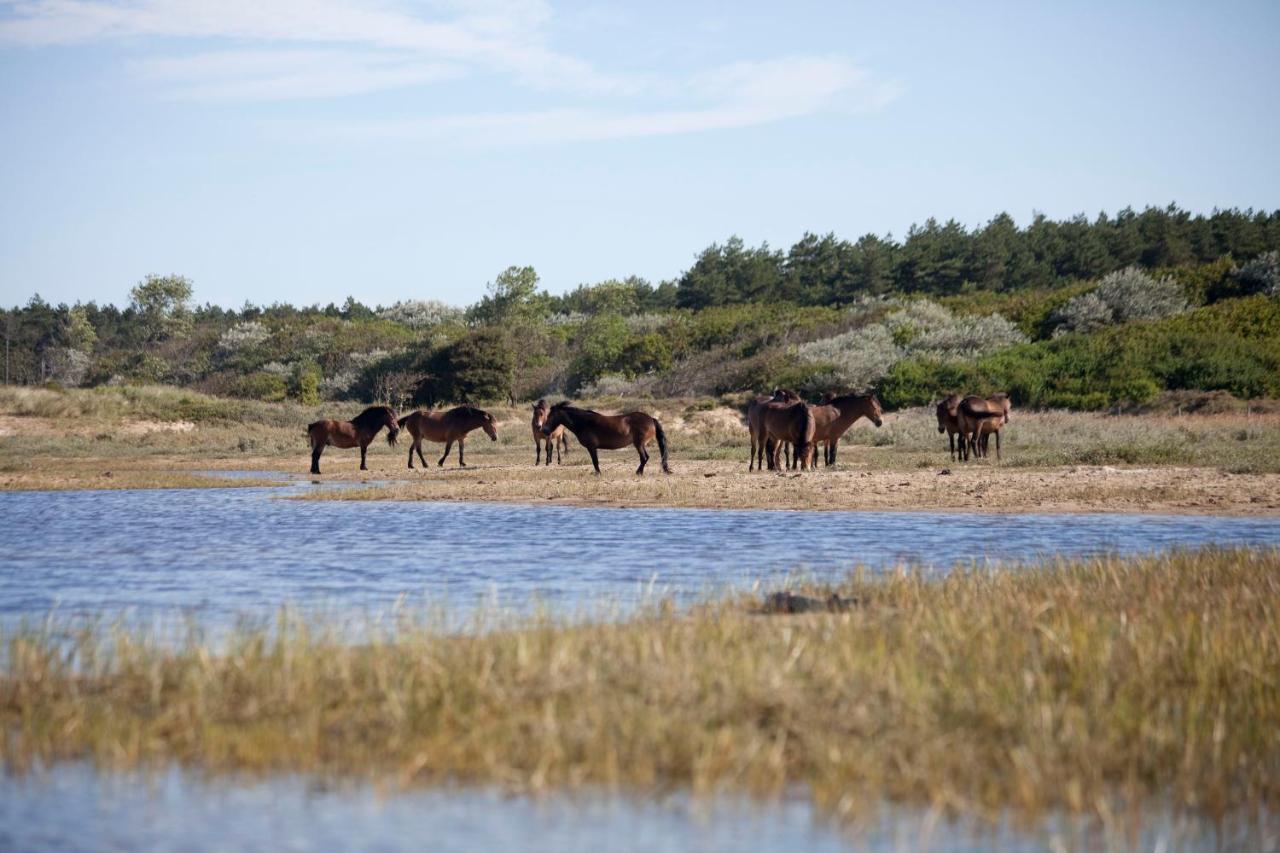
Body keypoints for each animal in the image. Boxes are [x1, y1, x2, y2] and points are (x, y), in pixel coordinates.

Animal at [540, 399, 670, 471]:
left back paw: (638, 473)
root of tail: (651, 419)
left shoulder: (592, 447)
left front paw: (598, 474)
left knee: (644, 458)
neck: (584, 422)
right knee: (645, 458)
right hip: (640, 444)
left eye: (550, 416)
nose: (544, 430)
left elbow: (595, 462)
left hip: (639, 444)